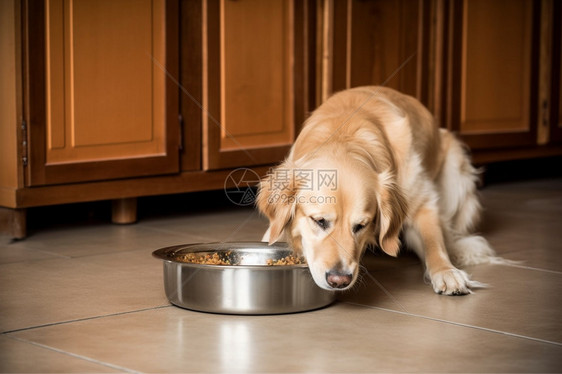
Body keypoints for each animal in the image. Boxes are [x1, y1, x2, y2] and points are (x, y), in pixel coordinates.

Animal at [255, 85, 498, 296]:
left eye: (361, 226)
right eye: (319, 221)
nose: (339, 280)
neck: (345, 137)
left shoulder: (422, 204)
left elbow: (433, 241)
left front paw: (447, 272)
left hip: (456, 172)